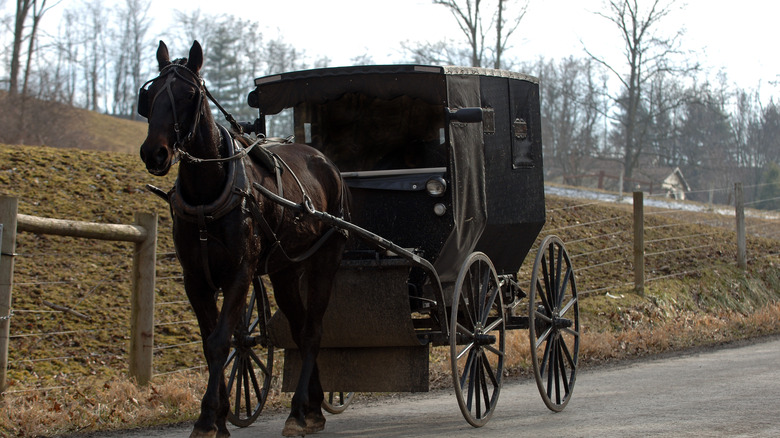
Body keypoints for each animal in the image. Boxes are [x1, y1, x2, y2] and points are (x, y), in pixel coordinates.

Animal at [138, 40, 349, 437]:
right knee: (299, 329)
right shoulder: (195, 280)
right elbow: (211, 344)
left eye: (188, 95)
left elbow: (222, 340)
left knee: (312, 331)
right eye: (150, 95)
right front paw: (219, 416)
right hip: (284, 270)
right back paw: (311, 407)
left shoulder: (240, 273)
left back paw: (300, 410)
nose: (154, 152)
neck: (207, 196)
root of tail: (324, 160)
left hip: (325, 259)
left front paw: (208, 417)